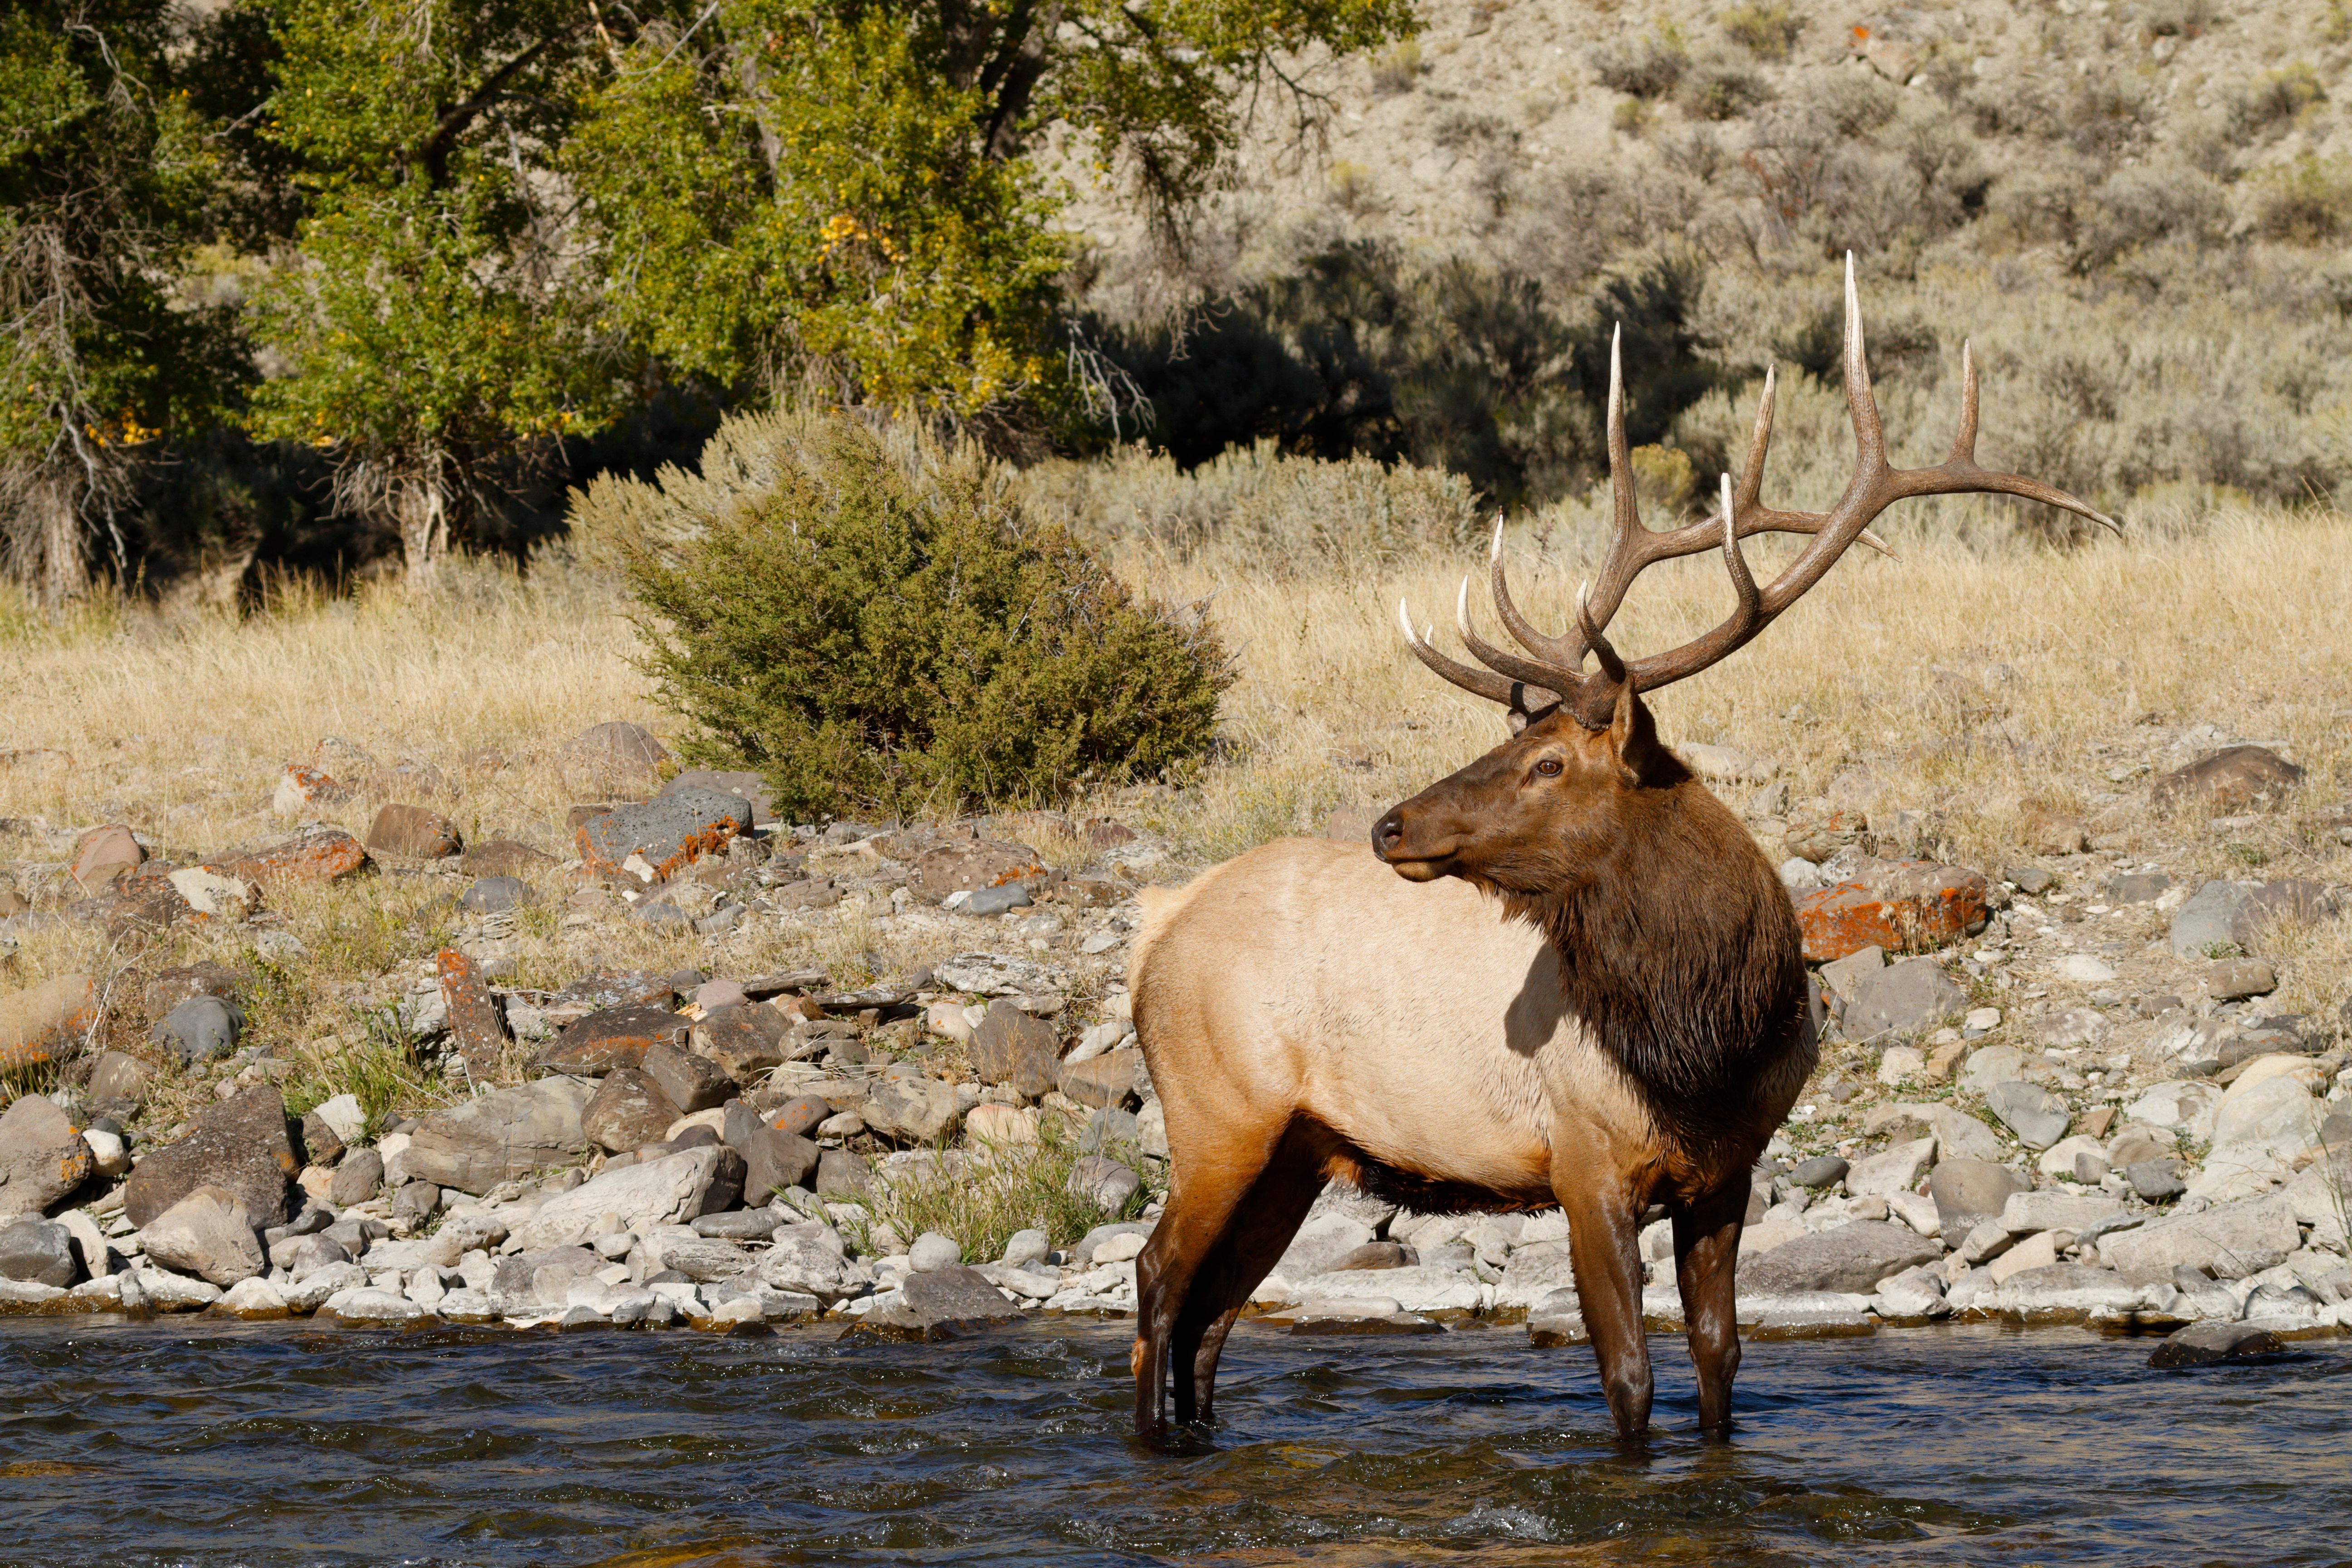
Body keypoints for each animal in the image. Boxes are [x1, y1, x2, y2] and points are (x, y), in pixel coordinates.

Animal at [1129, 261, 2126, 1448]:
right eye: (1517, 742)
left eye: (1546, 760)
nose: (1389, 826)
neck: (1705, 1045)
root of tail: (1153, 929)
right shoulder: (1582, 1162)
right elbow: (1626, 1375)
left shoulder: (1728, 1173)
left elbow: (1720, 1358)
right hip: (1215, 1109)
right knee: (1157, 1278)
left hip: (1297, 1148)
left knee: (1214, 1313)